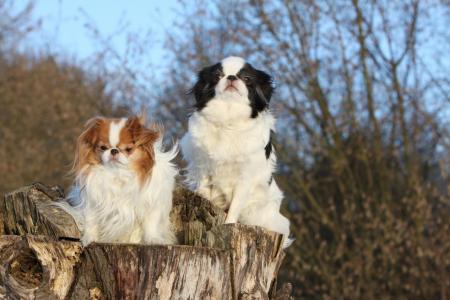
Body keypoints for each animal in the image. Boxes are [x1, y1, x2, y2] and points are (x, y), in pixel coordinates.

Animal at [182, 56, 292, 248]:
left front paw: (228, 224)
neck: (228, 118)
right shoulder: (203, 164)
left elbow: (234, 206)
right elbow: (204, 184)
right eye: (218, 76)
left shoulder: (244, 179)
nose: (232, 77)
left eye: (247, 78)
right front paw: (202, 196)